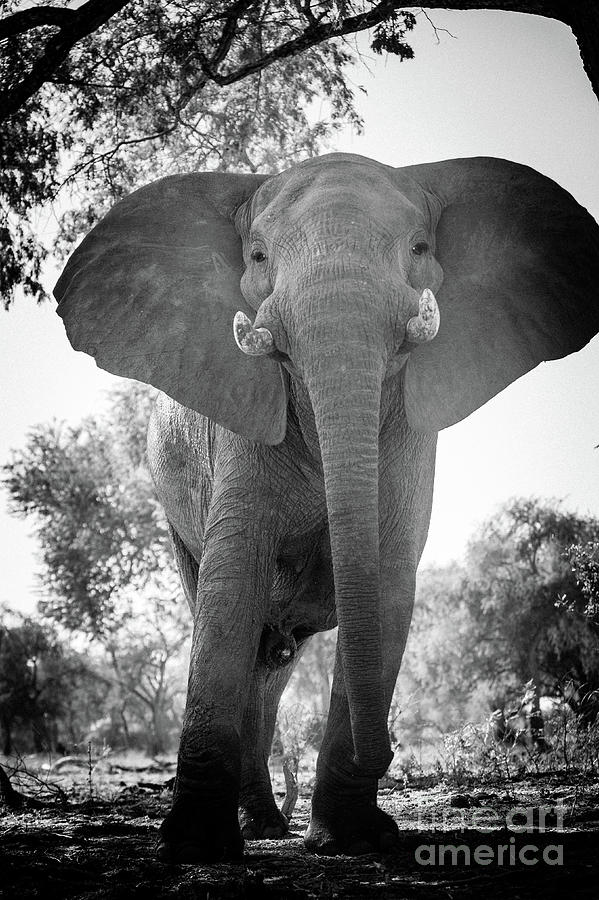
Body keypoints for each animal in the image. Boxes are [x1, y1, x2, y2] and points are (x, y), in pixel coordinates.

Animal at [55, 151, 599, 860]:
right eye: (258, 256)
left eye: (420, 248)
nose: (388, 754)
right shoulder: (240, 421)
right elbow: (232, 585)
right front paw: (195, 847)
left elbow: (388, 581)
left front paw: (352, 838)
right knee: (244, 635)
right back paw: (259, 826)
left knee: (273, 666)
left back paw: (268, 823)